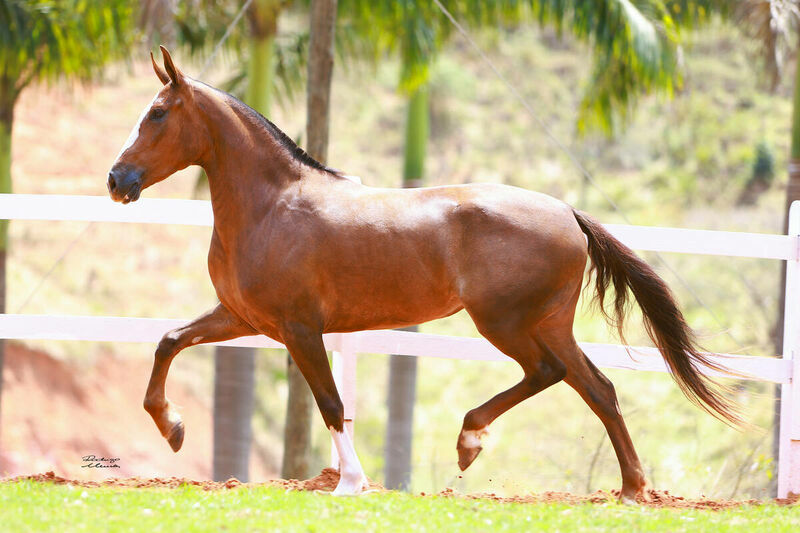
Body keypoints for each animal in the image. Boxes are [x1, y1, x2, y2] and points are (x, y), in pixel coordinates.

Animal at [107, 47, 739, 500]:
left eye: (157, 113)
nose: (117, 180)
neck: (272, 206)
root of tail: (568, 214)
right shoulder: (243, 318)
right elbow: (169, 340)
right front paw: (172, 428)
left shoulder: (299, 329)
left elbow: (331, 403)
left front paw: (351, 485)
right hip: (549, 323)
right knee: (597, 387)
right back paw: (631, 489)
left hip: (505, 322)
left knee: (550, 372)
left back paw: (471, 439)